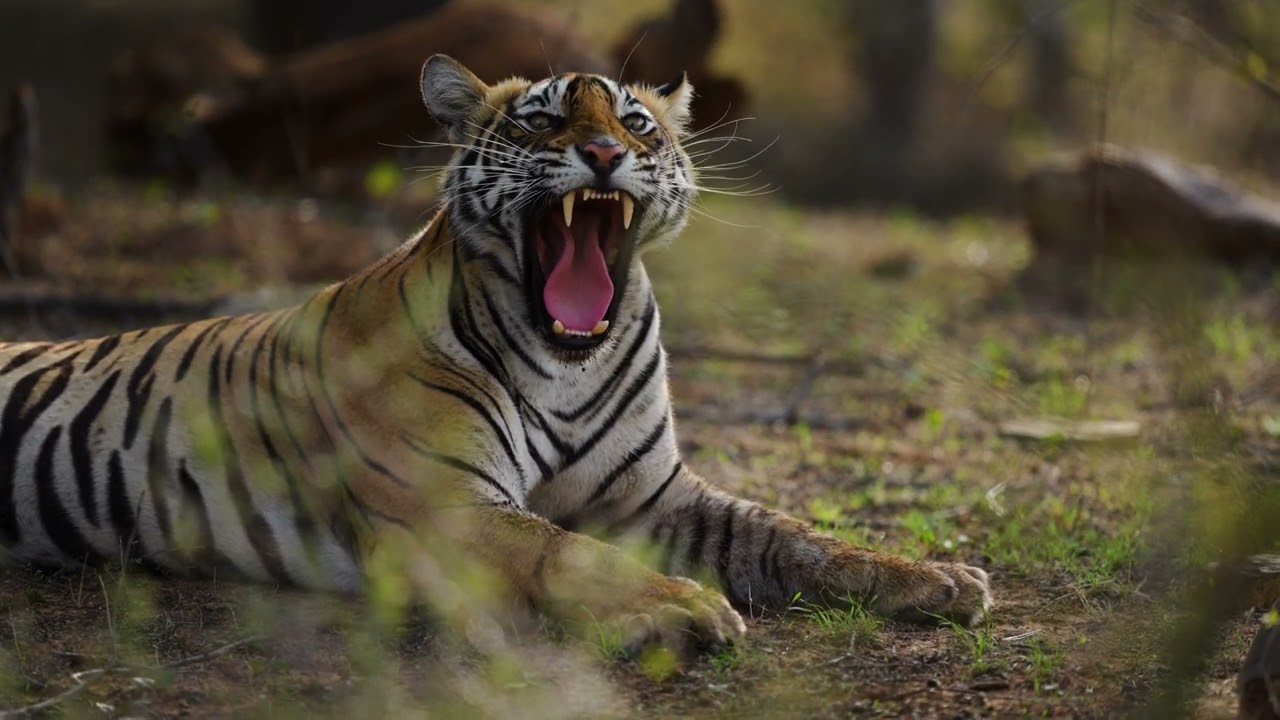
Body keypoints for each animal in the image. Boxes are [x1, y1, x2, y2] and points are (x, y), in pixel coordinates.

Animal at [0, 55, 991, 658]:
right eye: (541, 121)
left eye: (637, 123)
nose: (604, 152)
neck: (567, 361)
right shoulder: (446, 503)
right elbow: (564, 550)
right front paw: (681, 605)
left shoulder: (654, 496)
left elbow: (795, 535)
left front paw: (935, 576)